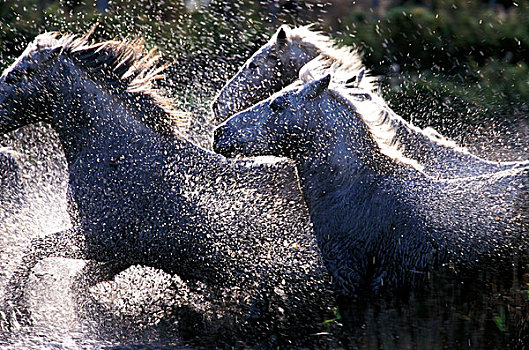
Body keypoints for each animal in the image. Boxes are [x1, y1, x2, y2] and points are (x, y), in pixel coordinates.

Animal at [0, 31, 330, 344]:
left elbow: (35, 248)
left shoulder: (99, 239)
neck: (118, 152)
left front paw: (18, 311)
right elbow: (75, 287)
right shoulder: (118, 256)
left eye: (15, 76)